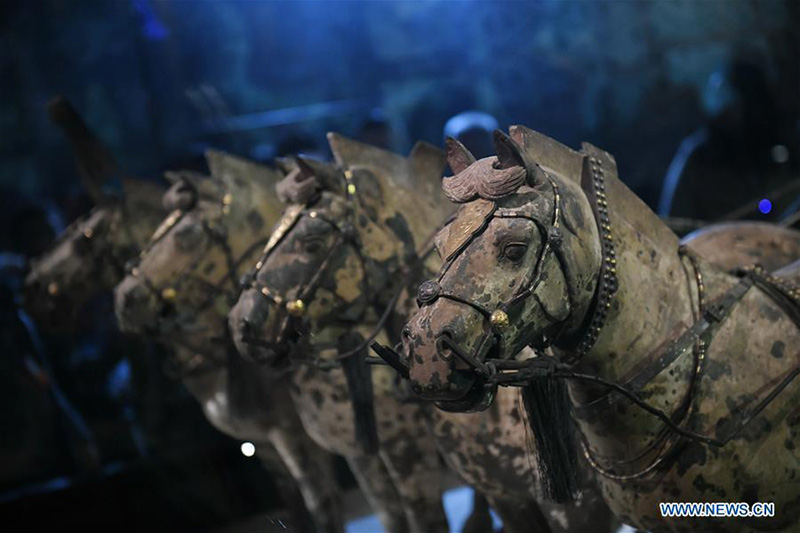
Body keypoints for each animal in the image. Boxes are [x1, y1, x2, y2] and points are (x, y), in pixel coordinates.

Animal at [112, 154, 343, 533]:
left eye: (187, 235)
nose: (123, 300)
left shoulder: (292, 436)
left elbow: (322, 504)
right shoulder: (266, 443)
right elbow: (296, 504)